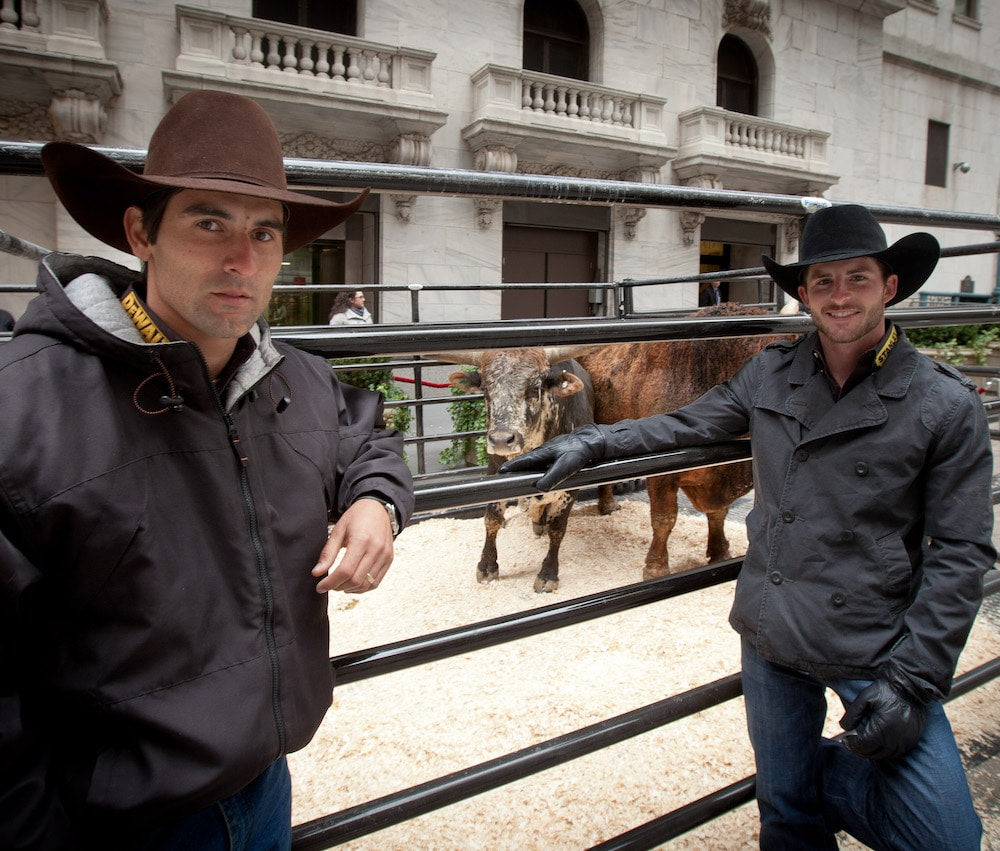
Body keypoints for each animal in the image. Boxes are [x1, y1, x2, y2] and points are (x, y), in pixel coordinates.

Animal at [576, 302, 792, 584]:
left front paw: (719, 551)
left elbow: (718, 513)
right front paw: (656, 567)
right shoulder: (661, 473)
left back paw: (608, 506)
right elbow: (664, 518)